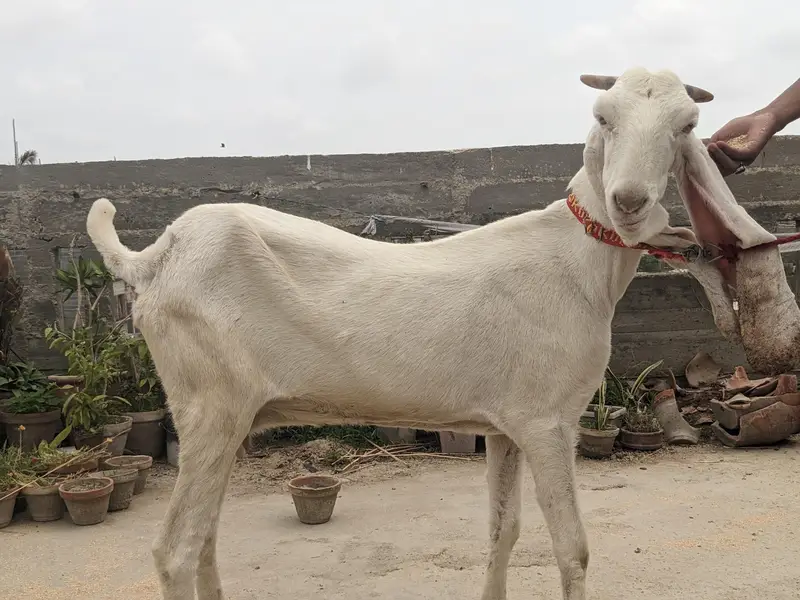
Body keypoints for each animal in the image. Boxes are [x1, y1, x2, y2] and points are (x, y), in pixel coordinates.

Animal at [86, 67, 779, 600]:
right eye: (603, 117)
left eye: (685, 126)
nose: (629, 201)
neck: (579, 256)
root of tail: (155, 257)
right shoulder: (548, 421)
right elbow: (573, 548)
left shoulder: (505, 425)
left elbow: (504, 530)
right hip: (212, 405)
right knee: (175, 549)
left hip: (227, 415)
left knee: (204, 536)